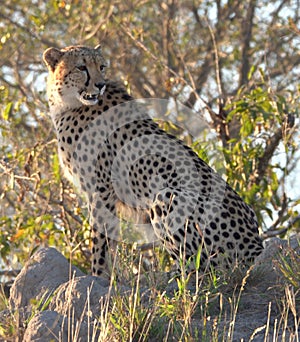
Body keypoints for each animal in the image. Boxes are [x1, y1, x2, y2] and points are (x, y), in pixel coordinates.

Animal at [43, 44, 264, 276]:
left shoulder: (101, 189)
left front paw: (97, 276)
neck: (68, 102)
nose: (100, 84)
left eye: (101, 67)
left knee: (204, 267)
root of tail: (255, 243)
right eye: (81, 67)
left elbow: (100, 242)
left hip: (166, 196)